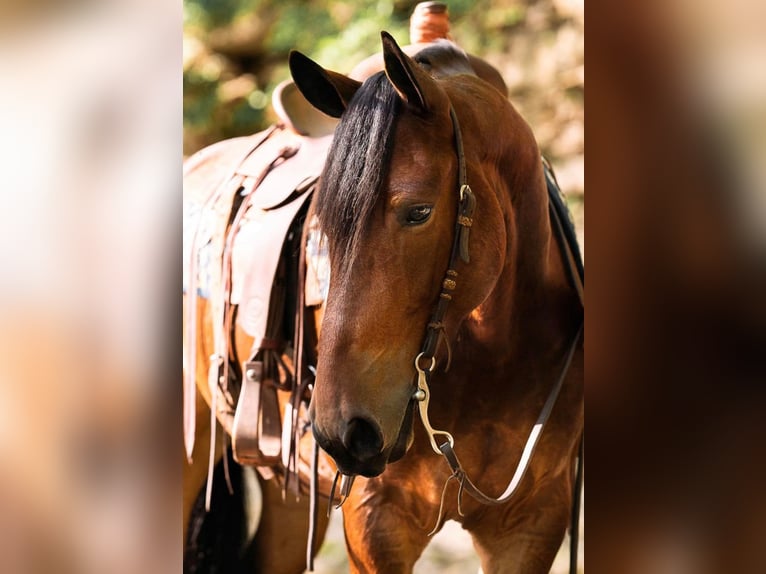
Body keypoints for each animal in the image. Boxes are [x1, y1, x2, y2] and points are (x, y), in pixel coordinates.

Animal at [292, 32, 584, 574]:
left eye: (419, 212)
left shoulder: (533, 520)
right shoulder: (376, 521)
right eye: (322, 224)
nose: (343, 431)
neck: (494, 362)